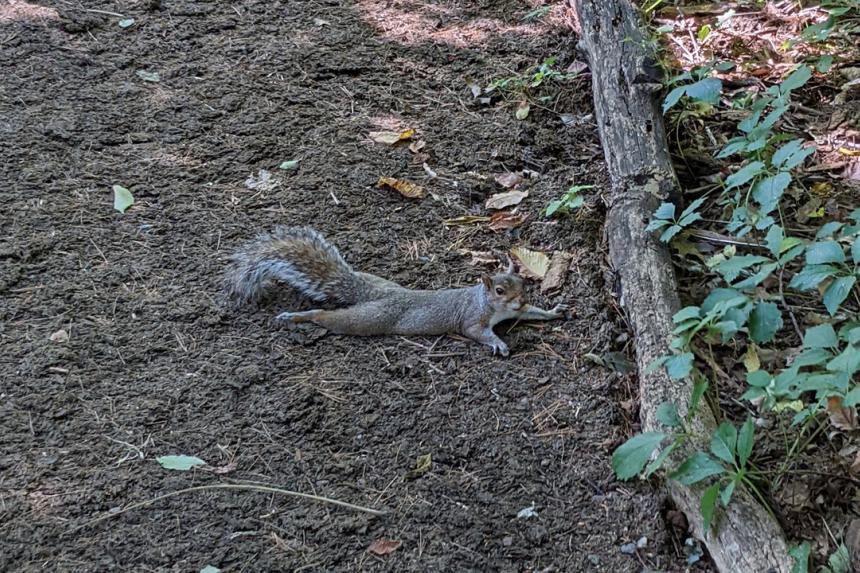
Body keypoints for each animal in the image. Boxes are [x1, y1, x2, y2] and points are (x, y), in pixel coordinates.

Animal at [224, 226, 570, 356]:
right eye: (499, 290)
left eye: (523, 283)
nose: (521, 299)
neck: (492, 307)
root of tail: (376, 295)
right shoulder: (473, 318)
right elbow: (475, 332)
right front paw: (497, 343)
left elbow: (535, 314)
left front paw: (553, 311)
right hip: (368, 319)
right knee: (329, 317)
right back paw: (299, 316)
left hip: (377, 284)